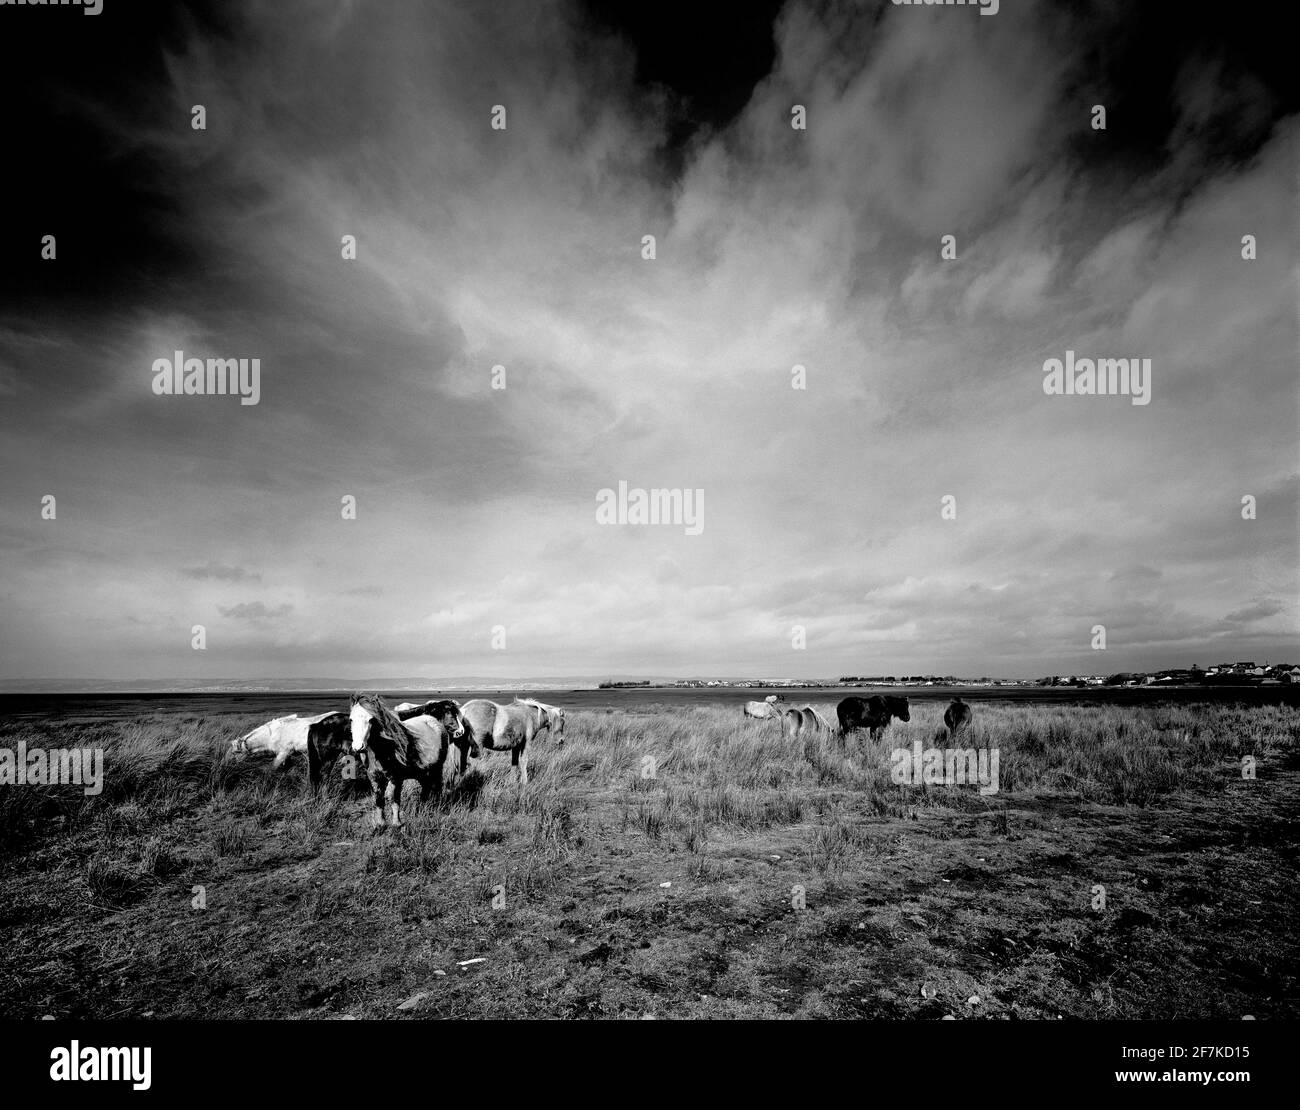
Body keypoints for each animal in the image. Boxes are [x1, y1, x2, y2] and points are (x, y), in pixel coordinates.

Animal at [348, 694, 466, 827]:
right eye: (351, 719)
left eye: (371, 719)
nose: (358, 747)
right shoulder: (374, 777)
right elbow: (379, 799)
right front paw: (380, 824)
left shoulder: (396, 778)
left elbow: (394, 798)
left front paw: (397, 824)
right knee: (427, 788)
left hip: (436, 768)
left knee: (436, 786)